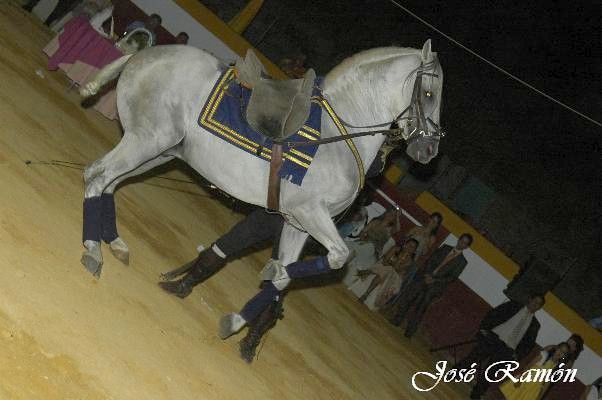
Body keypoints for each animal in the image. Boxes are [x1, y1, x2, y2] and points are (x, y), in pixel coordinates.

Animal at [81, 39, 440, 282]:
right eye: (428, 94)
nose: (428, 150)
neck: (340, 130)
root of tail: (142, 54)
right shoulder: (309, 211)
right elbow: (341, 255)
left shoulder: (298, 221)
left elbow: (299, 267)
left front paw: (272, 274)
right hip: (146, 141)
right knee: (96, 176)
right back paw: (92, 249)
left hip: (159, 152)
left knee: (109, 184)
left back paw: (115, 243)